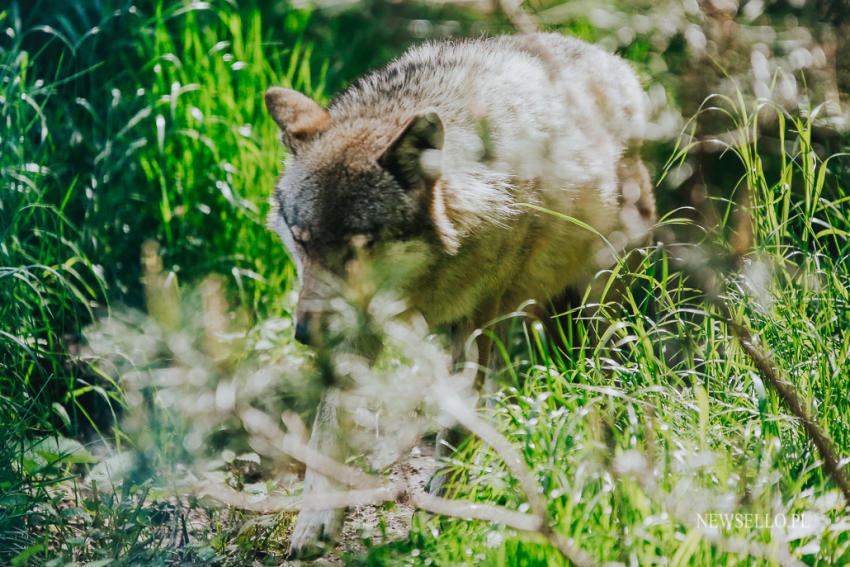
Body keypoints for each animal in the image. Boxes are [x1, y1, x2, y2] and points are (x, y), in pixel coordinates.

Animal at [264, 31, 656, 556]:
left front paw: (437, 518)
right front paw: (316, 522)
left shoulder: (475, 327)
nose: (307, 334)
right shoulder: (359, 330)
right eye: (302, 240)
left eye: (360, 246)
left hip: (597, 307)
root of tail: (616, 66)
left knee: (604, 377)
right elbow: (326, 434)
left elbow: (454, 430)